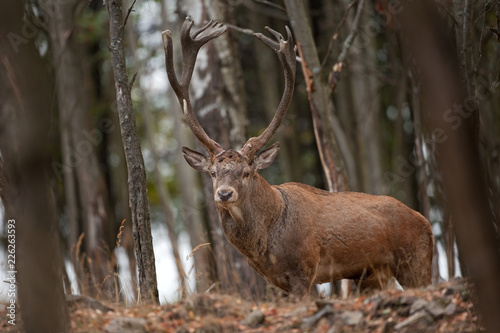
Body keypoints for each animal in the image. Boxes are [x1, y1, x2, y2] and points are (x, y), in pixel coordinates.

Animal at [161, 16, 434, 294]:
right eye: (213, 173)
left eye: (246, 172)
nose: (224, 194)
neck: (266, 245)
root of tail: (426, 222)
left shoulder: (304, 269)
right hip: (372, 276)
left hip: (416, 262)